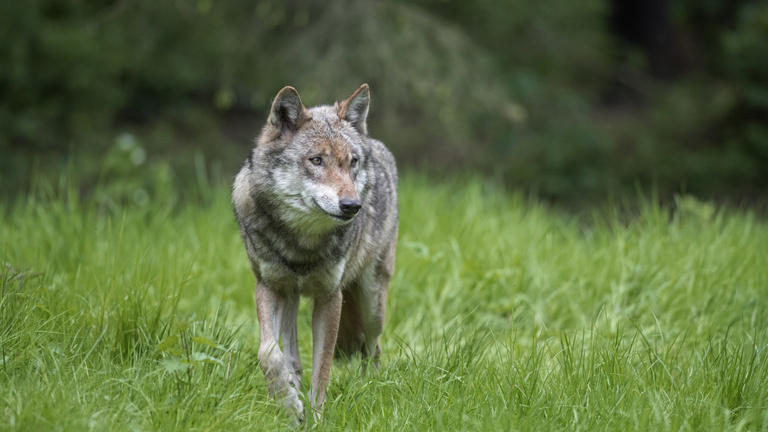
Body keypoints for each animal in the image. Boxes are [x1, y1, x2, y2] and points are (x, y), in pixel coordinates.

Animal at [230, 84, 400, 422]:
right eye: (317, 160)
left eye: (352, 162)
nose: (352, 206)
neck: (302, 244)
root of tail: (375, 143)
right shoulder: (268, 286)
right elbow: (268, 352)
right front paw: (287, 402)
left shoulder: (330, 297)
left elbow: (322, 370)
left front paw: (316, 418)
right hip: (291, 296)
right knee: (291, 352)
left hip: (371, 304)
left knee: (372, 347)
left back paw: (369, 387)